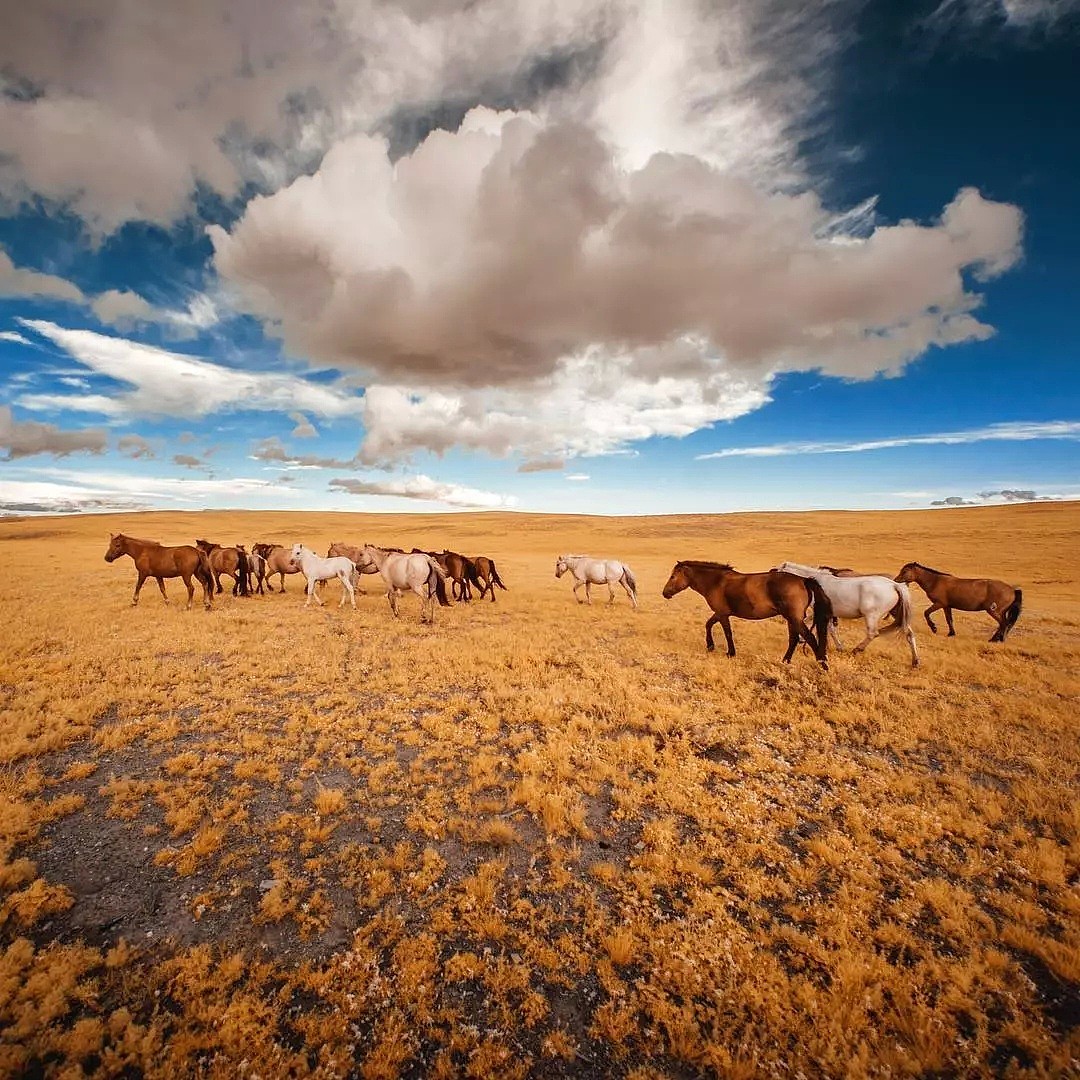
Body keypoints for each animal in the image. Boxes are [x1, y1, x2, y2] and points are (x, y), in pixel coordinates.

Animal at [660, 561, 829, 669]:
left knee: (810, 638)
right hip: (791, 618)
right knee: (793, 640)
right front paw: (710, 646)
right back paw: (785, 661)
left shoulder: (722, 614)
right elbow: (708, 624)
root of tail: (804, 580)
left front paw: (730, 653)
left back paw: (823, 665)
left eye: (673, 576)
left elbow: (727, 633)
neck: (716, 582)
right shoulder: (720, 613)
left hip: (794, 618)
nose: (665, 593)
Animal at [777, 557, 920, 665]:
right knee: (909, 634)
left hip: (871, 616)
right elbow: (825, 627)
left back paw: (857, 649)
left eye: (778, 571)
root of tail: (895, 585)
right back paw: (915, 661)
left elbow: (823, 627)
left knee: (873, 633)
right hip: (897, 614)